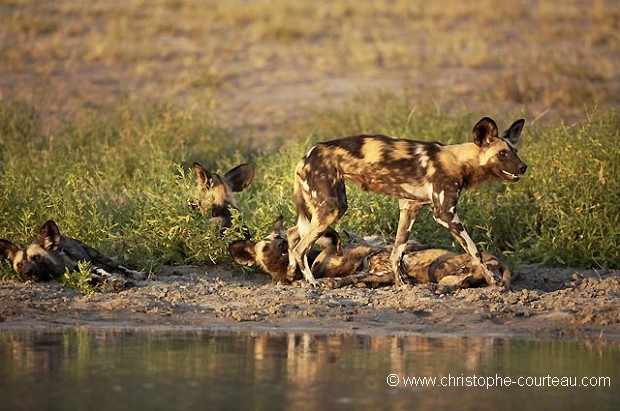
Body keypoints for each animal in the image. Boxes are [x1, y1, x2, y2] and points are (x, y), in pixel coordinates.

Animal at [288, 117, 524, 288]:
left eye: (515, 151)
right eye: (502, 154)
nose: (524, 167)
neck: (458, 160)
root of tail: (306, 155)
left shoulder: (410, 208)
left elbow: (397, 253)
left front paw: (402, 283)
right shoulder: (445, 214)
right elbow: (474, 251)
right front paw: (494, 281)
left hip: (319, 209)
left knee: (292, 234)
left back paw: (291, 273)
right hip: (333, 208)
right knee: (300, 249)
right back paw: (312, 283)